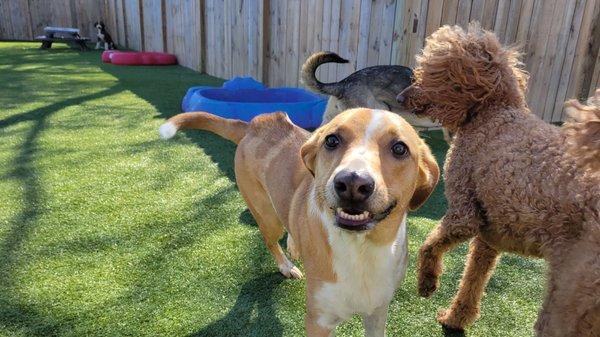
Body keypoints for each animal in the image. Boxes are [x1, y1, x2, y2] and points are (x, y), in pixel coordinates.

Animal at [159, 109, 440, 334]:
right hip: (267, 214)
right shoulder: (318, 321)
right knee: (270, 239)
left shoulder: (377, 313)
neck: (361, 250)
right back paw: (286, 265)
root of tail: (254, 124)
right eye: (332, 140)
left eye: (400, 148)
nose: (352, 182)